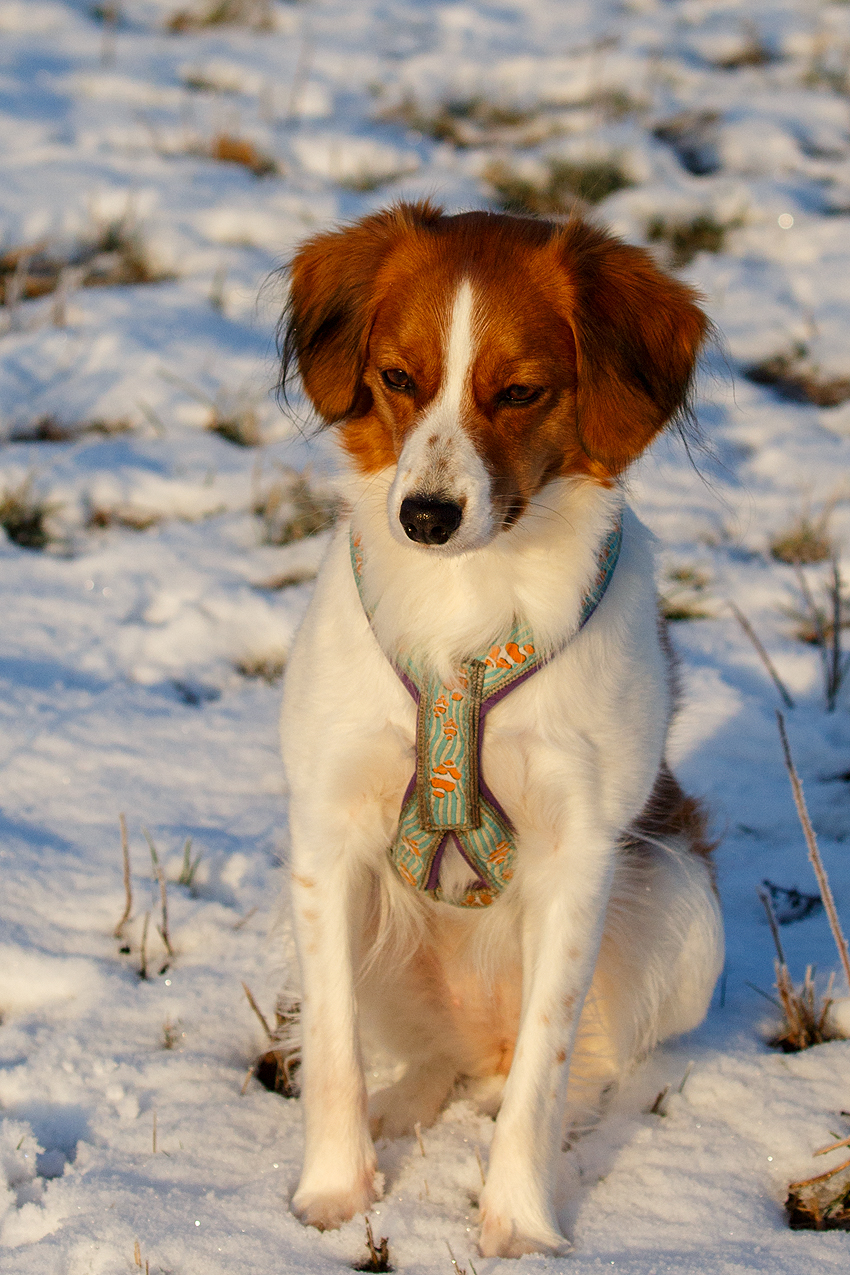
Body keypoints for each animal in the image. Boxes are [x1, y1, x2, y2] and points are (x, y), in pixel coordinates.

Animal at [279, 204, 723, 1259]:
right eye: (398, 377)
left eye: (520, 392)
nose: (426, 516)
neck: (466, 607)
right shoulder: (326, 834)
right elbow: (332, 1050)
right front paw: (334, 1192)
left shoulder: (579, 853)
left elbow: (543, 1071)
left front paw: (518, 1220)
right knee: (427, 1056)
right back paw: (409, 1100)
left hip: (685, 903)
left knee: (562, 1062)